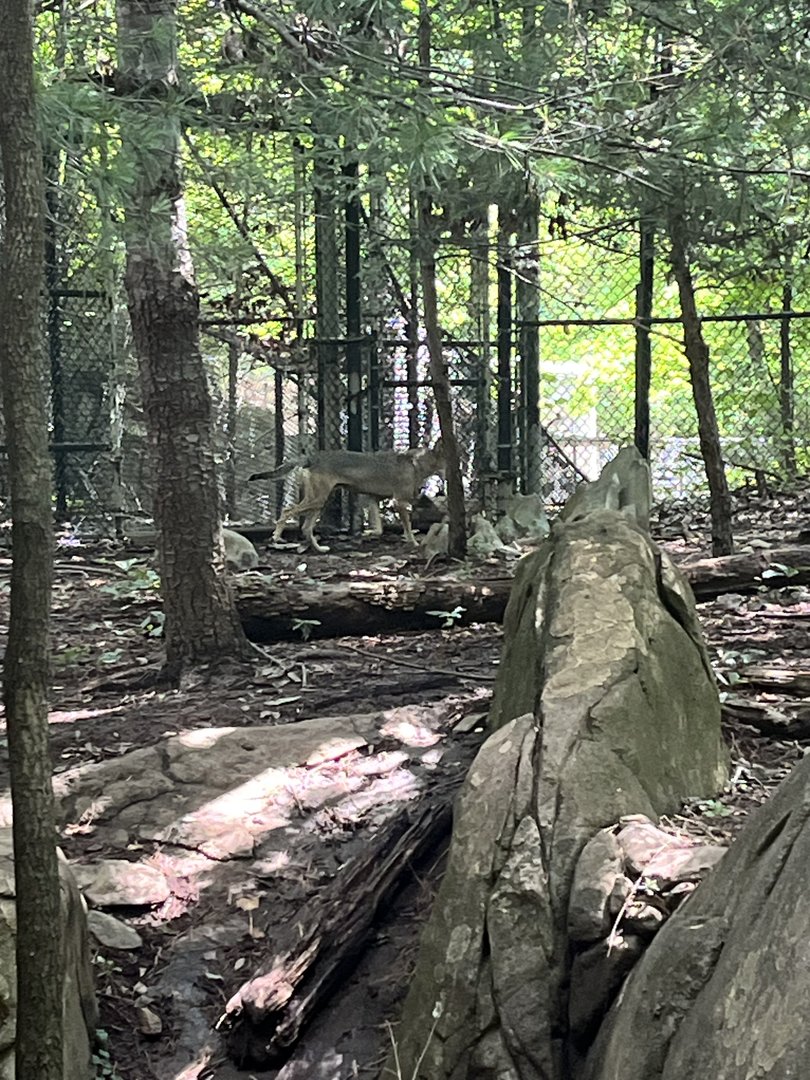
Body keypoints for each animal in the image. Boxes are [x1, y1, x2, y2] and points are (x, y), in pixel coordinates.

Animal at [249, 441, 445, 553]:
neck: (416, 463)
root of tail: (312, 456)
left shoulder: (372, 499)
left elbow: (379, 529)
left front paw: (366, 533)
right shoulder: (399, 502)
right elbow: (408, 528)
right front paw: (415, 543)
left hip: (318, 503)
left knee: (305, 528)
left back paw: (320, 549)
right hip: (318, 500)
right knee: (287, 511)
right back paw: (275, 537)